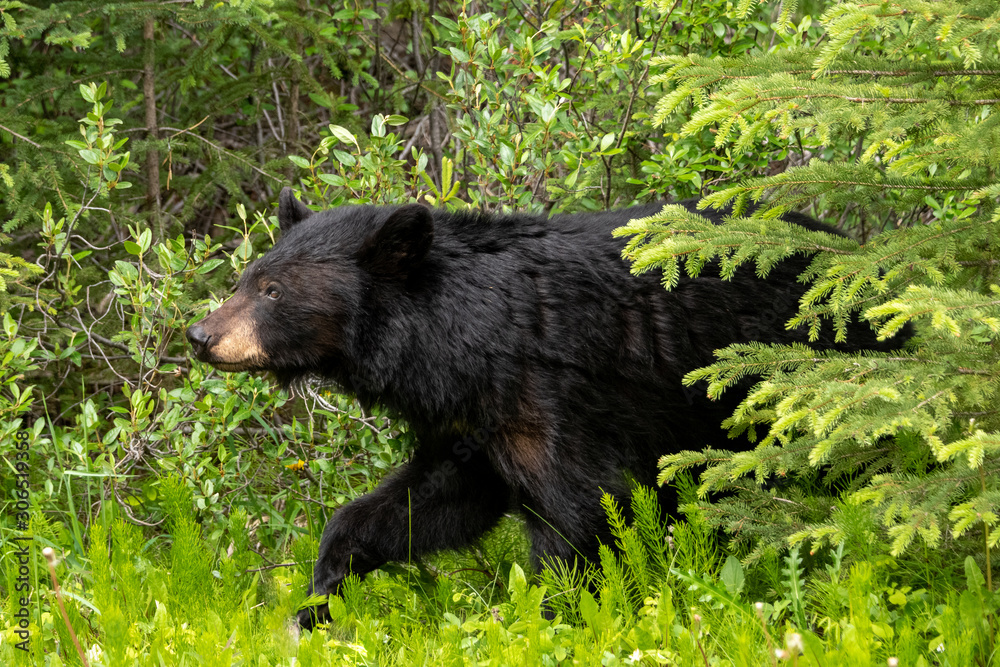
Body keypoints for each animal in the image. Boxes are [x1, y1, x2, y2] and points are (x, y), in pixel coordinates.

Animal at [188, 189, 908, 632]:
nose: (200, 335)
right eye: (245, 277)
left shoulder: (553, 391)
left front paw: (547, 614)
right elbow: (430, 500)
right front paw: (319, 593)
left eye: (272, 289)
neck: (465, 339)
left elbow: (580, 508)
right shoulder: (471, 422)